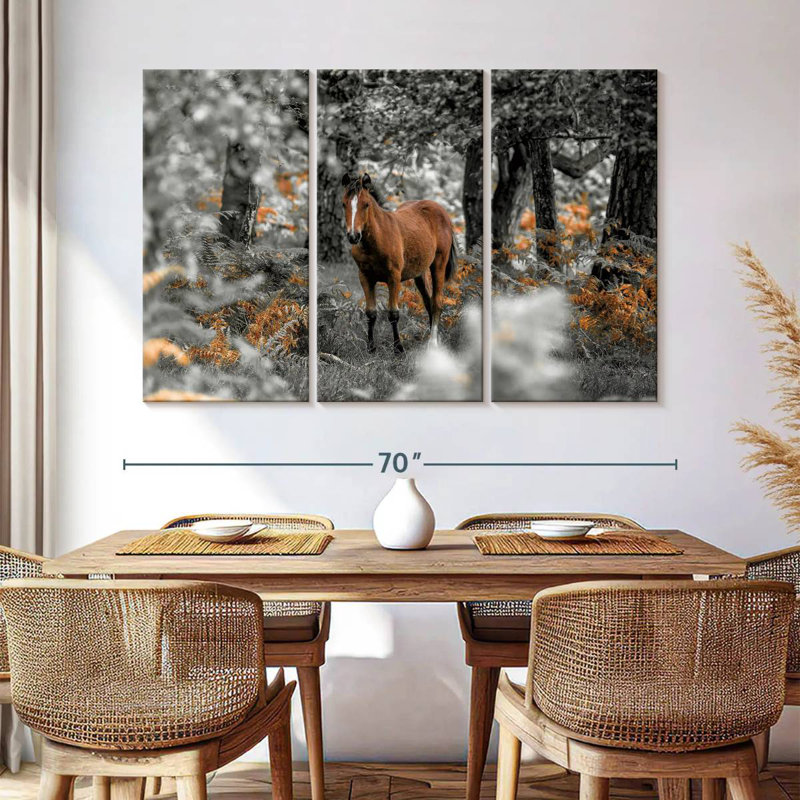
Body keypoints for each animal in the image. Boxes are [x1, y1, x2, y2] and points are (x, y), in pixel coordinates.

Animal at [341, 172, 457, 354]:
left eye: (366, 204)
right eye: (343, 204)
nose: (353, 236)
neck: (376, 240)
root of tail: (441, 212)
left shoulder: (393, 277)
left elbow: (393, 313)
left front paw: (398, 348)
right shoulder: (365, 277)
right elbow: (371, 313)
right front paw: (371, 348)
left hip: (438, 264)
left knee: (437, 302)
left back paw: (433, 343)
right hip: (420, 273)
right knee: (428, 301)